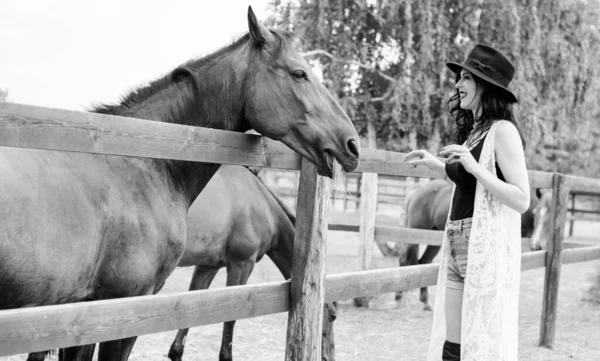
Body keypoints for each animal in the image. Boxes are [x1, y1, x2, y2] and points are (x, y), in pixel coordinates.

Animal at [165, 165, 338, 358]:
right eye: (333, 316)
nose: (329, 357)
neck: (260, 202)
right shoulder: (242, 264)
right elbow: (231, 317)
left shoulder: (207, 267)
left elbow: (189, 312)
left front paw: (176, 352)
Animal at [396, 179, 552, 308]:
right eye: (536, 213)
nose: (536, 244)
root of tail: (416, 191)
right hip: (415, 233)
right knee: (405, 261)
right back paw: (400, 297)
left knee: (424, 261)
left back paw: (426, 302)